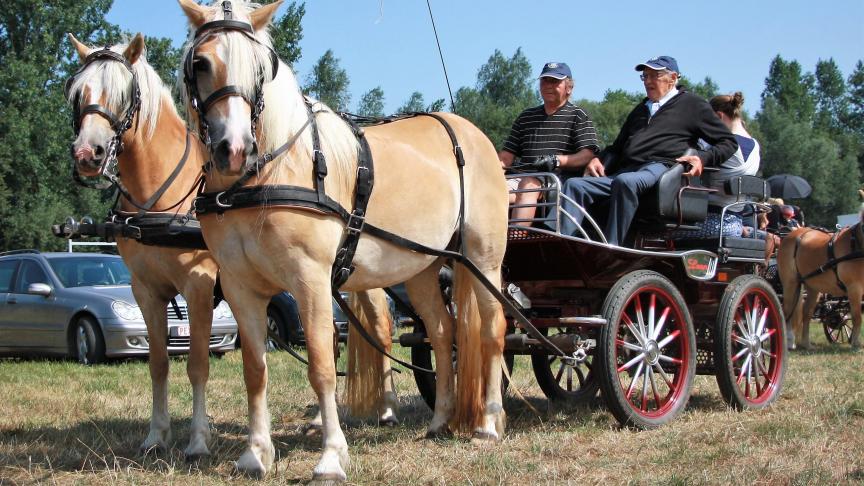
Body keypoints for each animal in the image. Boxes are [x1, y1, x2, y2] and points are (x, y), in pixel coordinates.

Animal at [65, 33, 218, 456]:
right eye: (77, 93)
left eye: (123, 93)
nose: (88, 153)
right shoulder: (146, 290)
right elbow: (159, 363)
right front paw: (156, 435)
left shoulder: (198, 287)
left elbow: (197, 363)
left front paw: (198, 441)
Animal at [178, 0, 510, 480]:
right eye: (201, 63)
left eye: (261, 66)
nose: (234, 148)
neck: (267, 175)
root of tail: (471, 133)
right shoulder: (241, 287)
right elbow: (255, 370)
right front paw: (256, 454)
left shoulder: (311, 281)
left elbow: (321, 366)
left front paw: (332, 456)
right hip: (423, 268)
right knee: (442, 332)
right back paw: (441, 421)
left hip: (482, 261)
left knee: (492, 331)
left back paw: (487, 422)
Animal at [776, 190, 864, 350]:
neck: (857, 244)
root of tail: (792, 234)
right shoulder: (854, 288)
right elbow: (857, 317)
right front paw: (855, 344)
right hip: (790, 283)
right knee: (787, 311)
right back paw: (789, 341)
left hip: (812, 287)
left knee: (806, 313)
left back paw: (806, 344)